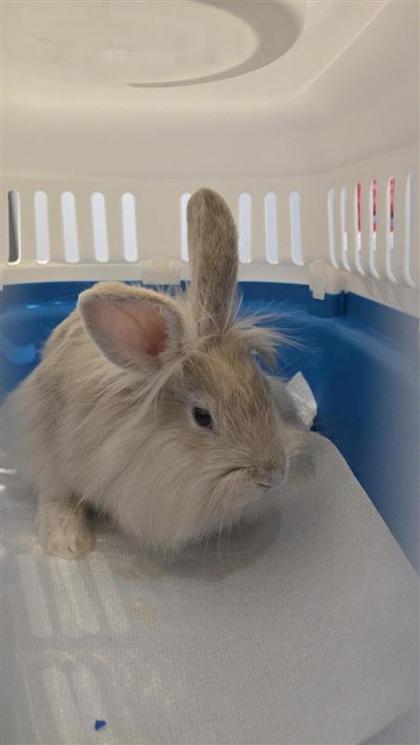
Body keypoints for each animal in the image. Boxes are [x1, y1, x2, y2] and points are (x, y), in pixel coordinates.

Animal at [9, 188, 306, 559]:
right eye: (202, 417)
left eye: (264, 389)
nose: (272, 476)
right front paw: (69, 543)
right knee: (53, 492)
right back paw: (68, 543)